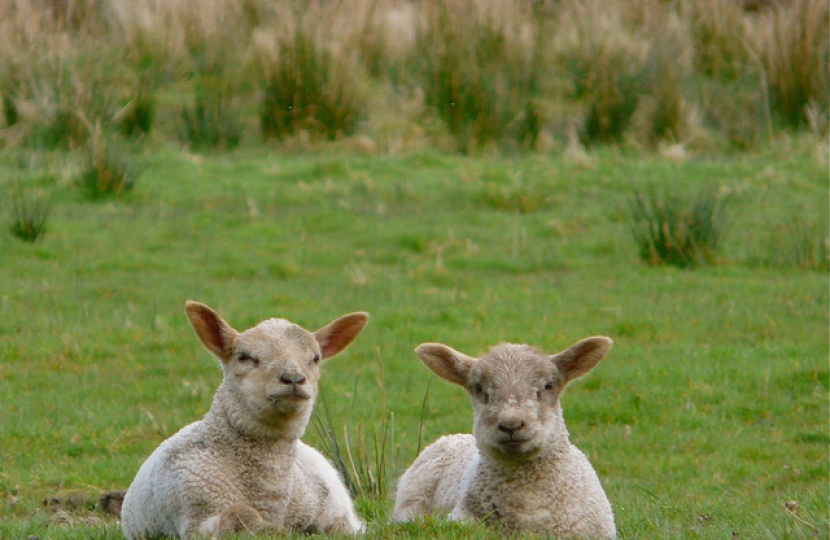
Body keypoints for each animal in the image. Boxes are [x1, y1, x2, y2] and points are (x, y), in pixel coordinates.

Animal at [121, 301, 369, 539]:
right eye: (244, 358)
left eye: (315, 359)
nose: (293, 379)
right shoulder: (195, 515)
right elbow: (241, 512)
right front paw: (272, 529)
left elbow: (342, 527)